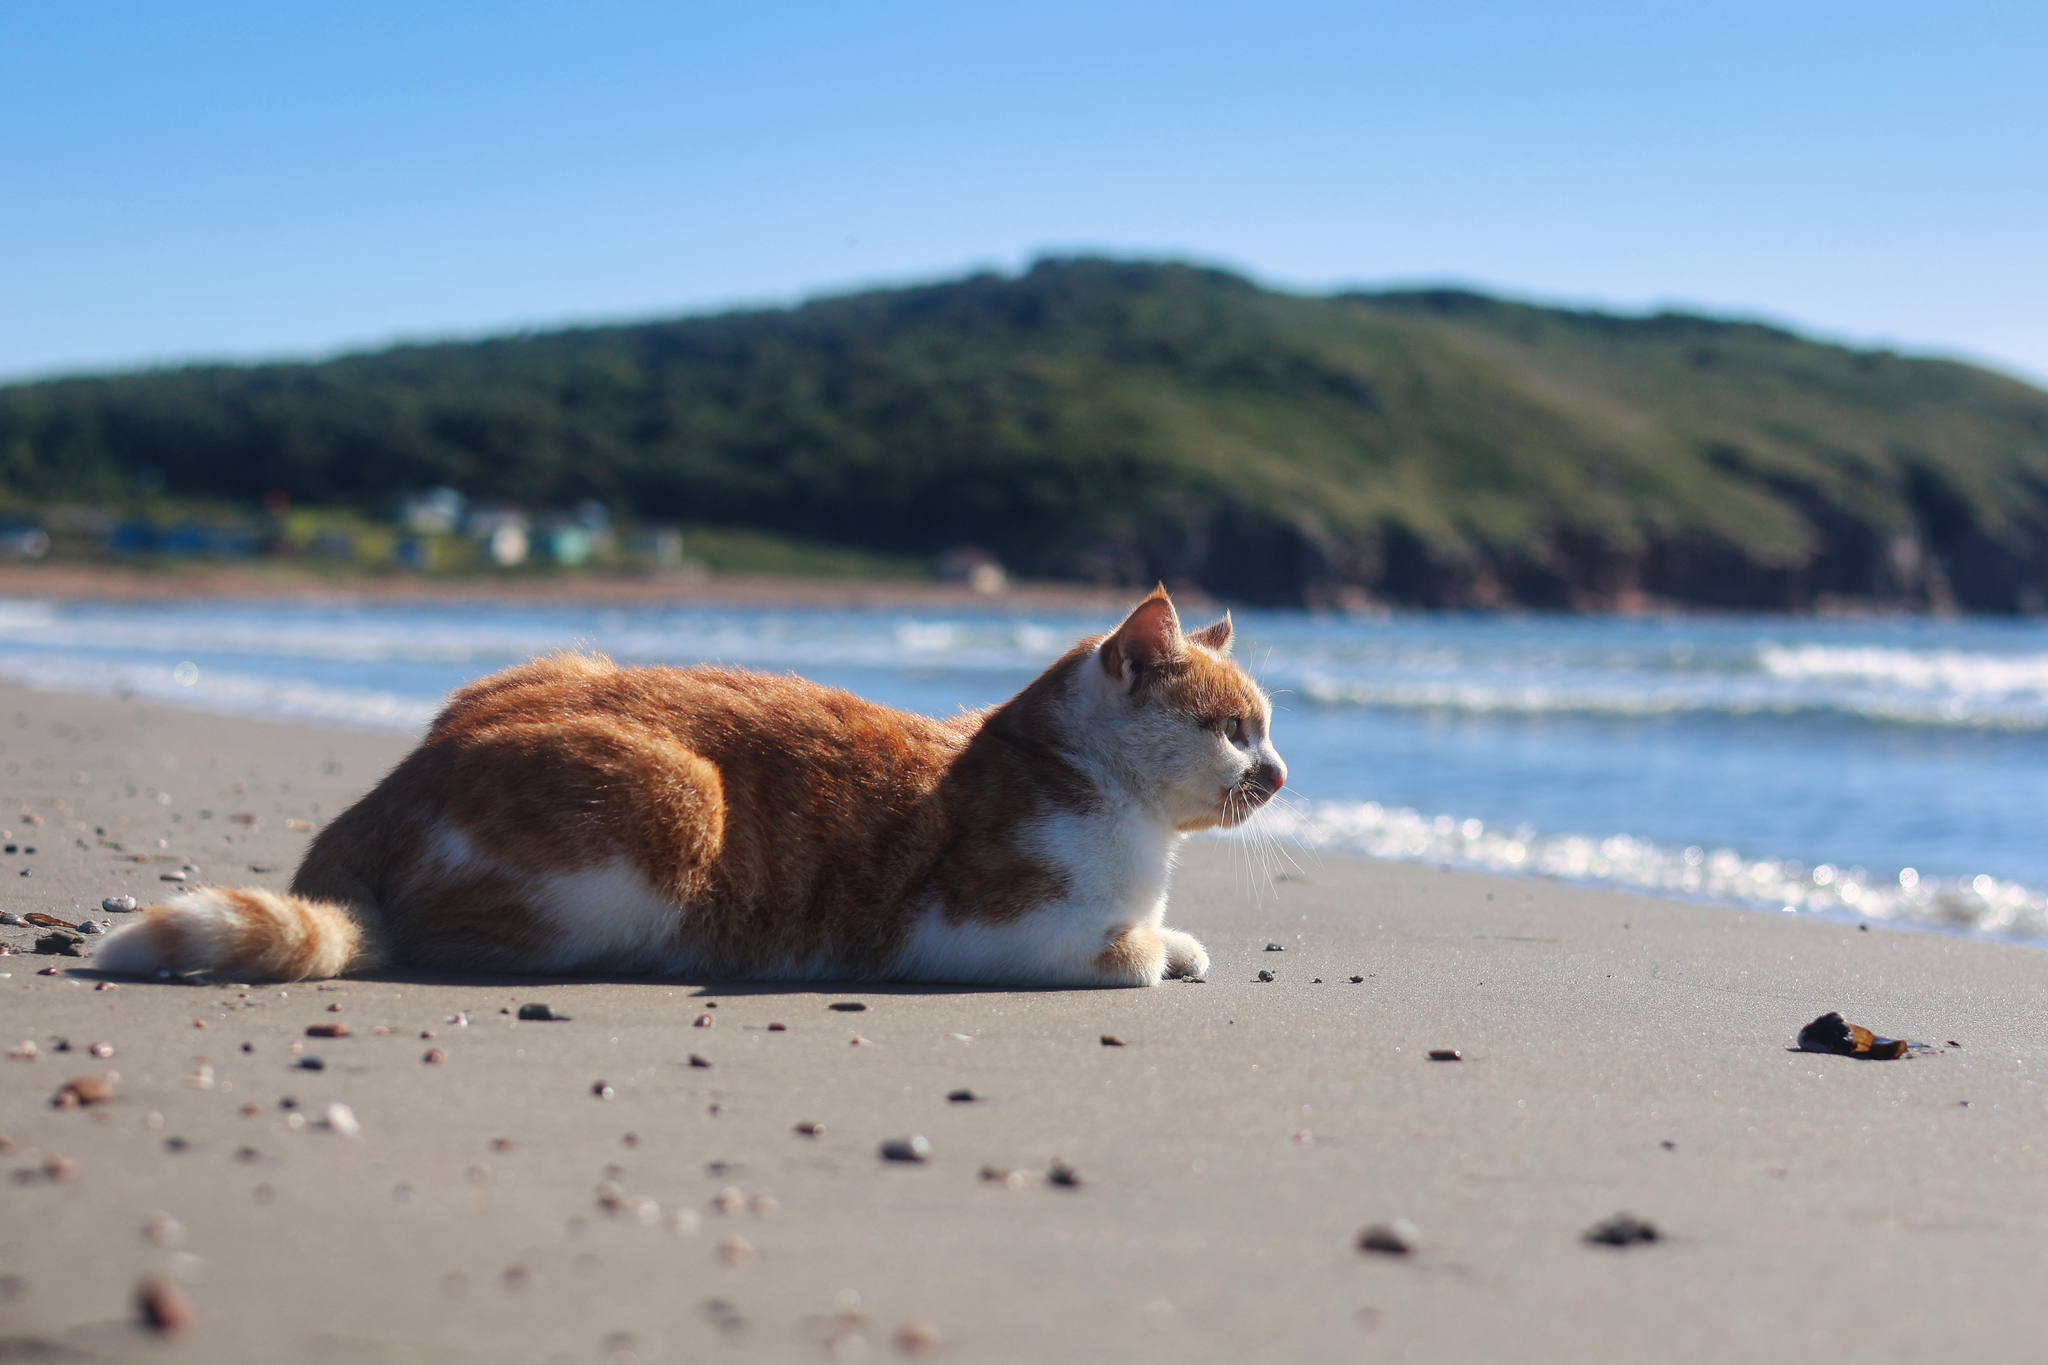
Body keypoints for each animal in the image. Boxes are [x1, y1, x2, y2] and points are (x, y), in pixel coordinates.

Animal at [96, 581, 1286, 986]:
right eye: (1235, 729)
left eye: (1267, 729)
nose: (1278, 772)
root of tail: (389, 789)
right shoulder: (971, 927)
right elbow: (1128, 951)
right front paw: (1155, 948)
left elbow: (1161, 935)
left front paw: (1177, 935)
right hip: (677, 799)